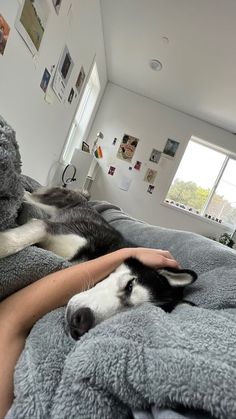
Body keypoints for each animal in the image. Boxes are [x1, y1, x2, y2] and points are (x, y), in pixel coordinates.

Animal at [0, 189, 196, 340]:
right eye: (130, 285)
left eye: (128, 314)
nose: (81, 322)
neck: (105, 253)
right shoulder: (48, 227)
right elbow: (15, 240)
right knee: (28, 195)